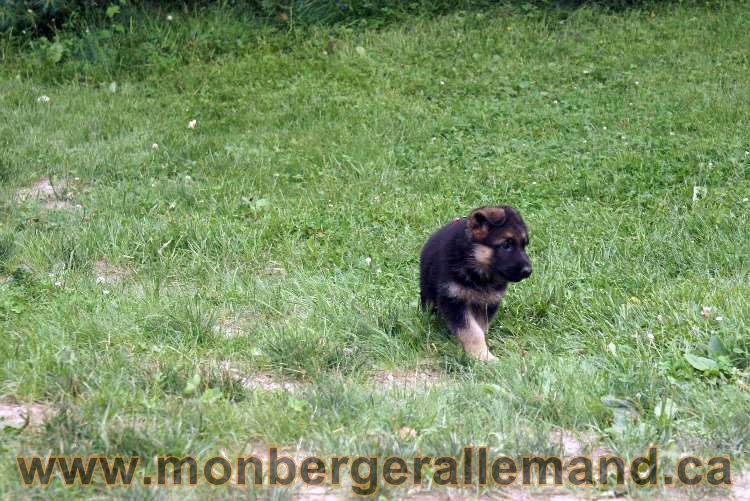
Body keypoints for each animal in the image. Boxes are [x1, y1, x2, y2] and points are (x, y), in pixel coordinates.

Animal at [420, 206, 532, 360]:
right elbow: (472, 332)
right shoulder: (454, 300)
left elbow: (479, 329)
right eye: (506, 245)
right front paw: (482, 356)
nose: (528, 271)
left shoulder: (487, 303)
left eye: (523, 245)